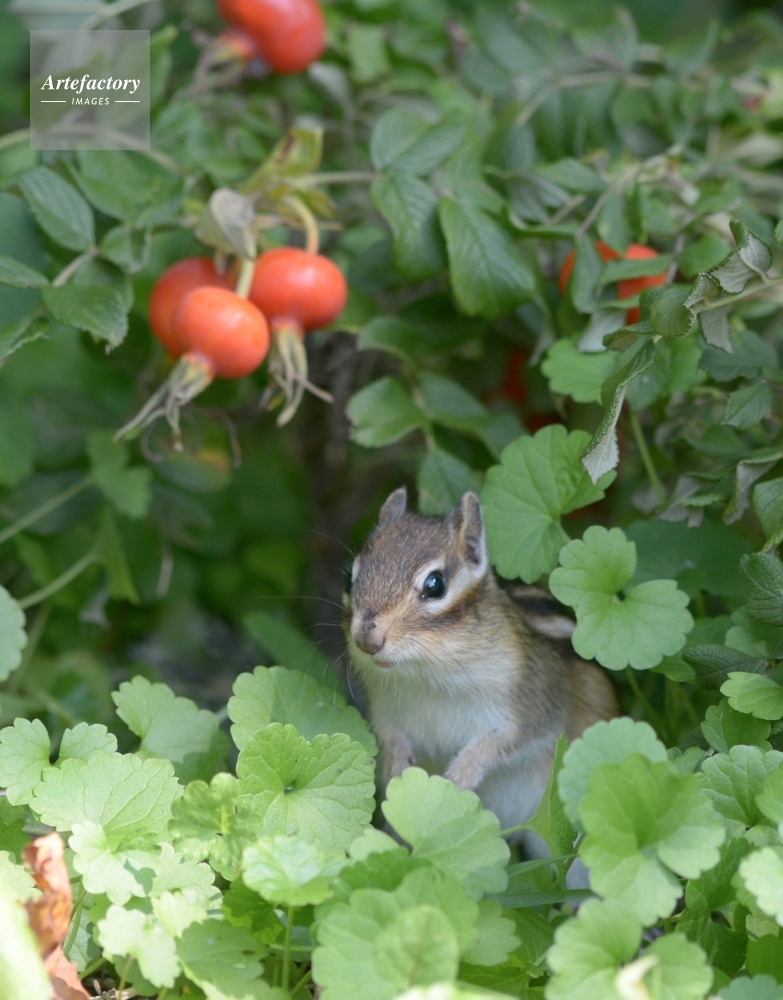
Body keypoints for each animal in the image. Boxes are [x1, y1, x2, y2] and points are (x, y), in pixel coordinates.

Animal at [343, 487, 619, 853]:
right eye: (351, 577)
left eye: (435, 585)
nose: (367, 640)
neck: (426, 675)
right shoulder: (385, 710)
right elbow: (390, 738)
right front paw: (397, 769)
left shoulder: (536, 701)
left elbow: (502, 742)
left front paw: (456, 779)